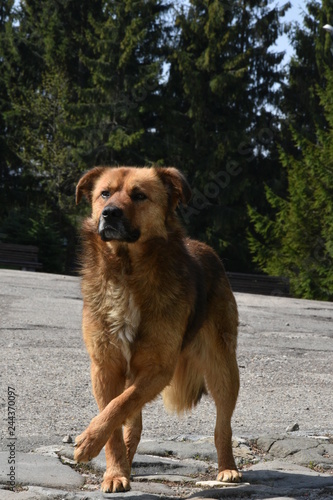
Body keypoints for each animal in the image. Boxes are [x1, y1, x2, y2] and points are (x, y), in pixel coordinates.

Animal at [74, 165, 241, 492]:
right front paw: (115, 471)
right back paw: (126, 463)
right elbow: (115, 415)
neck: (126, 271)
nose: (109, 213)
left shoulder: (158, 369)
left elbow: (118, 407)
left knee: (222, 426)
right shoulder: (105, 368)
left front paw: (88, 440)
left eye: (139, 195)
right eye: (104, 193)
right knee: (133, 423)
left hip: (224, 369)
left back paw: (227, 468)